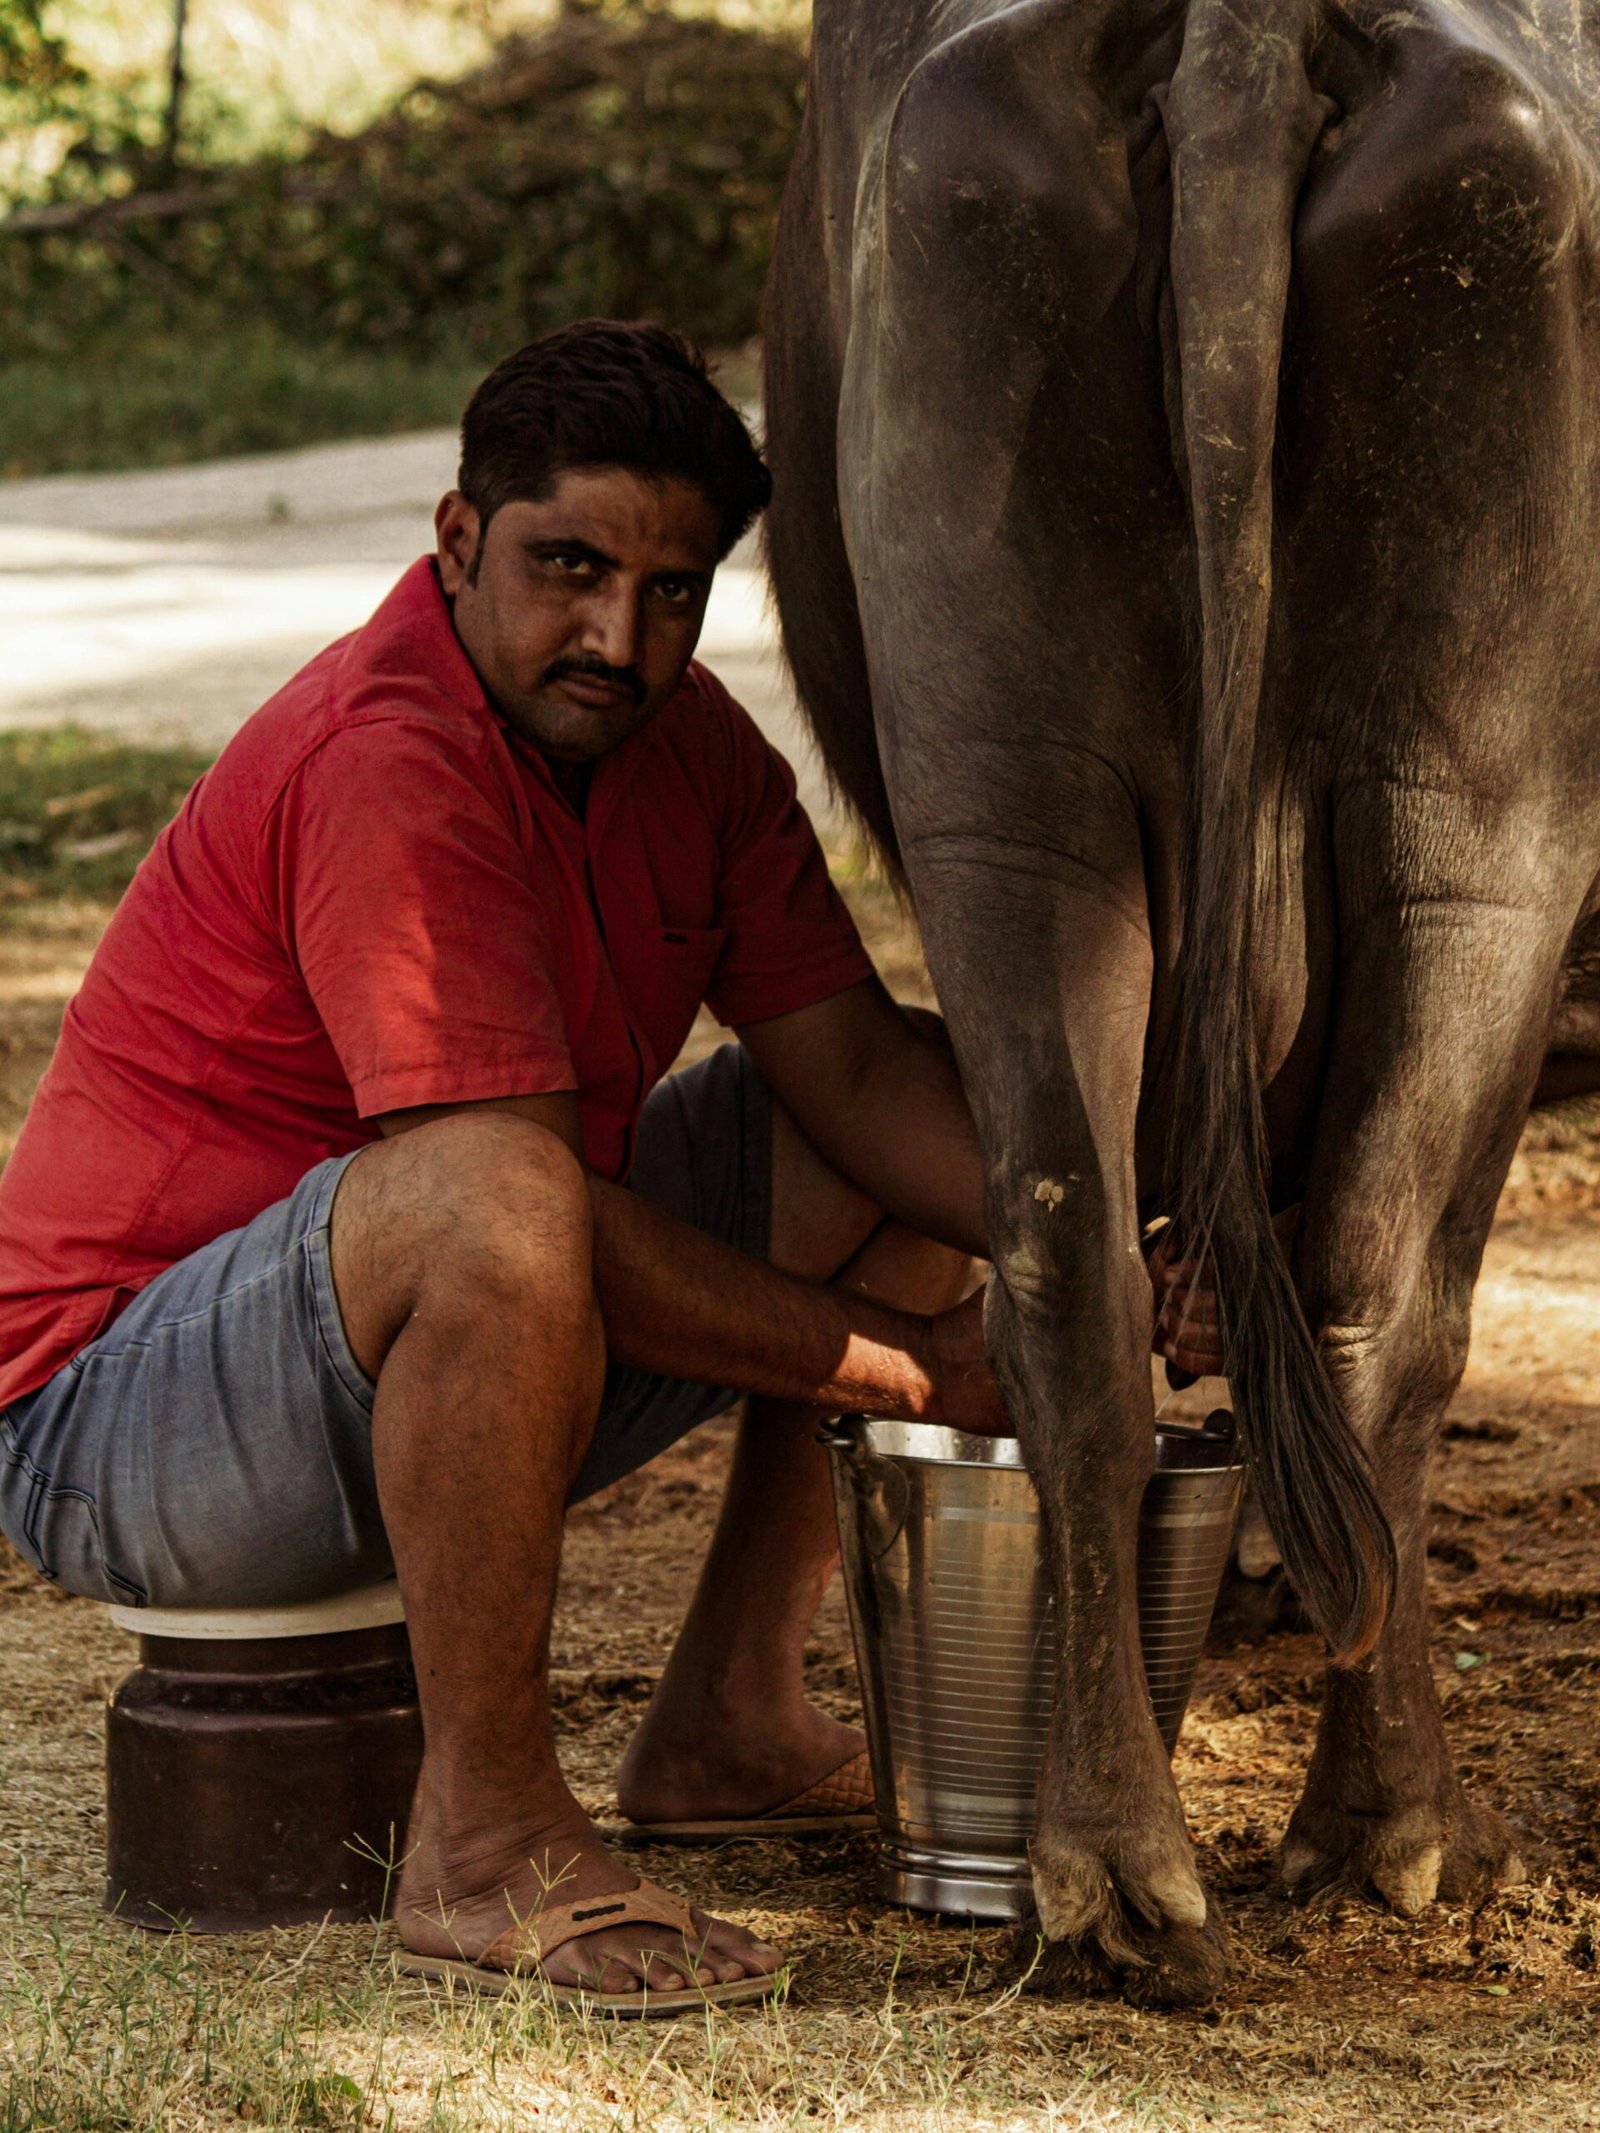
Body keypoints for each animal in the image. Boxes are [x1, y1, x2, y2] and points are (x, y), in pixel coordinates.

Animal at [764, 0, 1600, 2004]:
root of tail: (1243, 34)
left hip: (1053, 806)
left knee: (1116, 1266)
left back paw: (1124, 1856)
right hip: (1485, 827)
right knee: (1376, 1283)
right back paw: (1384, 1832)